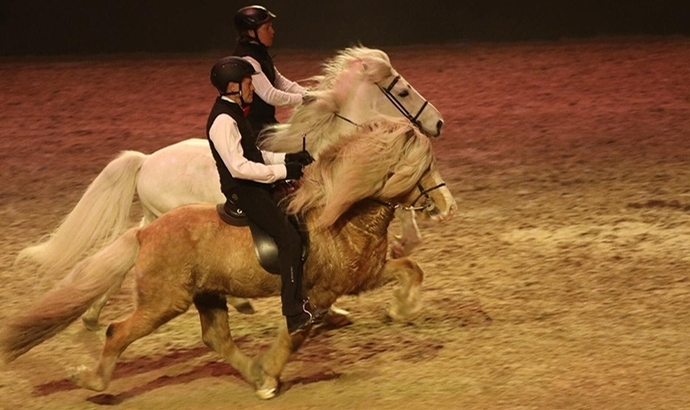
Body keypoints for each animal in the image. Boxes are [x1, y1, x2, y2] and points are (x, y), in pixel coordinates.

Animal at [1, 117, 456, 398]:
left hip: (206, 295)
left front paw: (401, 310)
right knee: (118, 332)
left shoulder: (363, 276)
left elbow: (412, 270)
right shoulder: (319, 295)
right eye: (424, 168)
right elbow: (296, 334)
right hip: (165, 302)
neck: (341, 216)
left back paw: (253, 374)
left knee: (216, 337)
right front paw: (272, 372)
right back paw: (93, 379)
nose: (448, 206)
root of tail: (146, 231)